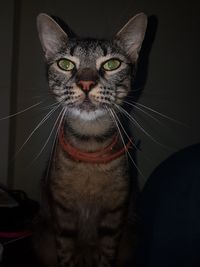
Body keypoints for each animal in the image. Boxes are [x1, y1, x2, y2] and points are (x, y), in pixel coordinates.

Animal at [35, 12, 147, 267]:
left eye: (112, 64)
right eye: (65, 64)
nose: (86, 84)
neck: (90, 142)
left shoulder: (115, 212)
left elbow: (107, 251)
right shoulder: (62, 212)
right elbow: (65, 249)